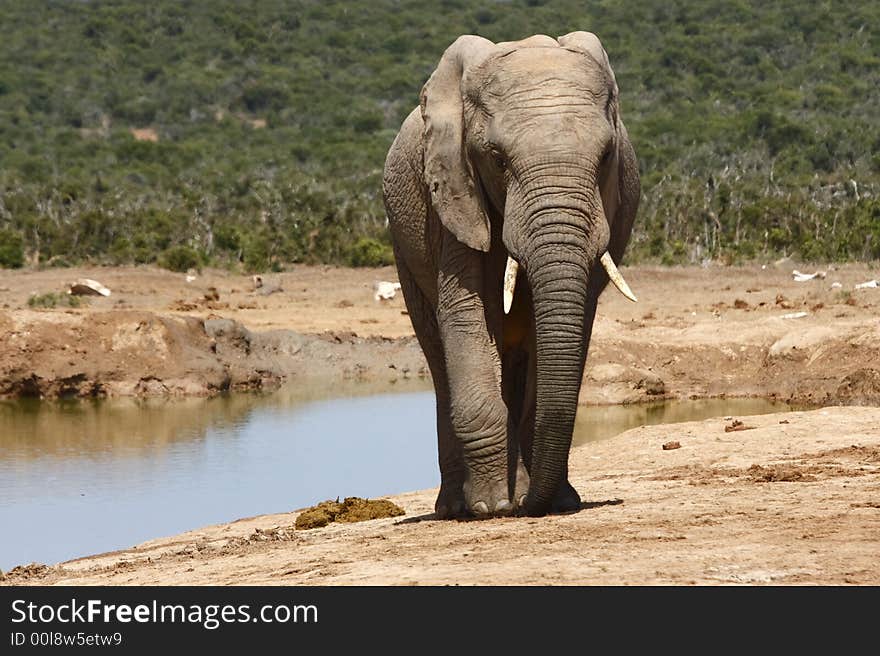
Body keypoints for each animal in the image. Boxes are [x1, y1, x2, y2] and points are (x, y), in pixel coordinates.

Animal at [384, 32, 640, 516]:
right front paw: (492, 506)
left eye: (605, 158)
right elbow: (466, 313)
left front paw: (548, 501)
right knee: (438, 355)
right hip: (403, 243)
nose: (524, 507)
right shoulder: (456, 195)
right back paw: (456, 508)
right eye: (498, 159)